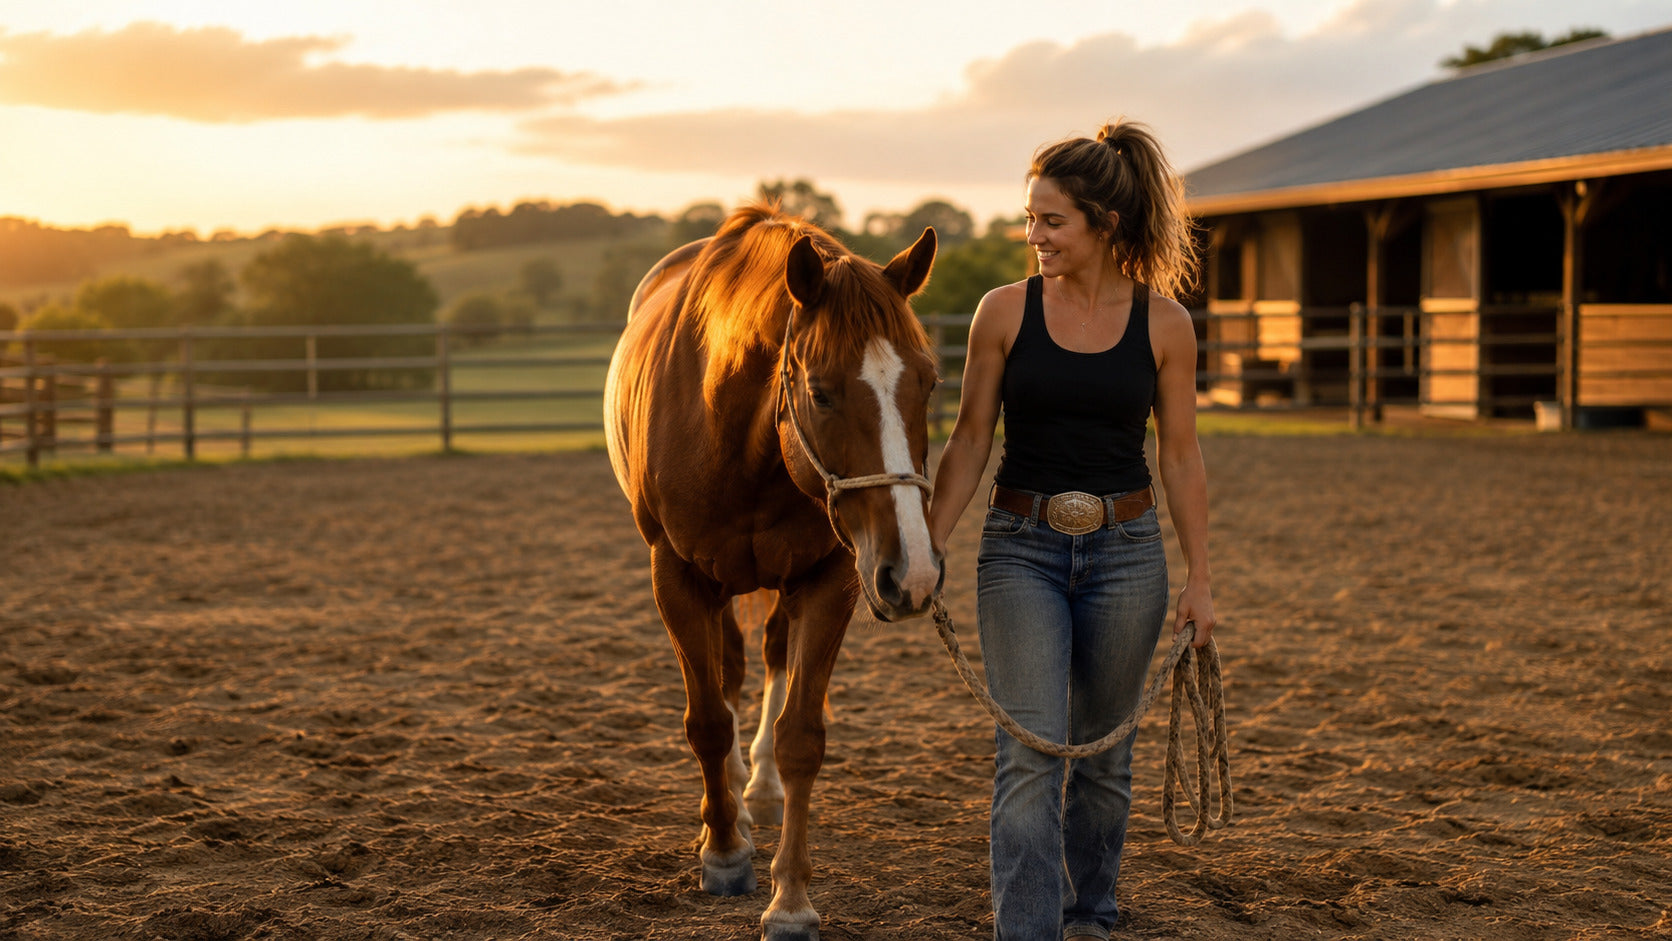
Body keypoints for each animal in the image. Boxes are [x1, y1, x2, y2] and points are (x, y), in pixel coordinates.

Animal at [604, 203, 941, 940]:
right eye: (820, 391)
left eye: (930, 381)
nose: (914, 573)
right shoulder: (677, 578)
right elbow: (706, 719)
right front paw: (725, 853)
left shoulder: (832, 578)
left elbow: (801, 738)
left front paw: (790, 901)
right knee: (727, 672)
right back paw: (730, 798)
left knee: (768, 657)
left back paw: (755, 787)